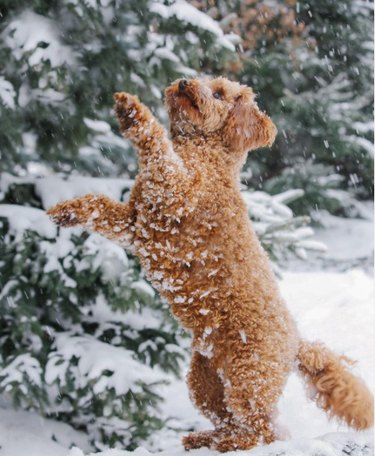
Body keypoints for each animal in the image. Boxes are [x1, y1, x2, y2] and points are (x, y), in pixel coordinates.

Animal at [47, 76, 374, 450]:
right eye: (199, 78)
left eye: (218, 92)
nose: (183, 82)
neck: (204, 155)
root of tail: (296, 343)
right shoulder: (135, 223)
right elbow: (98, 206)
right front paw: (67, 211)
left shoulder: (175, 194)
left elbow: (158, 148)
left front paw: (133, 113)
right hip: (205, 382)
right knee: (233, 420)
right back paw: (206, 438)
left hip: (250, 377)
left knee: (263, 431)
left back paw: (230, 443)